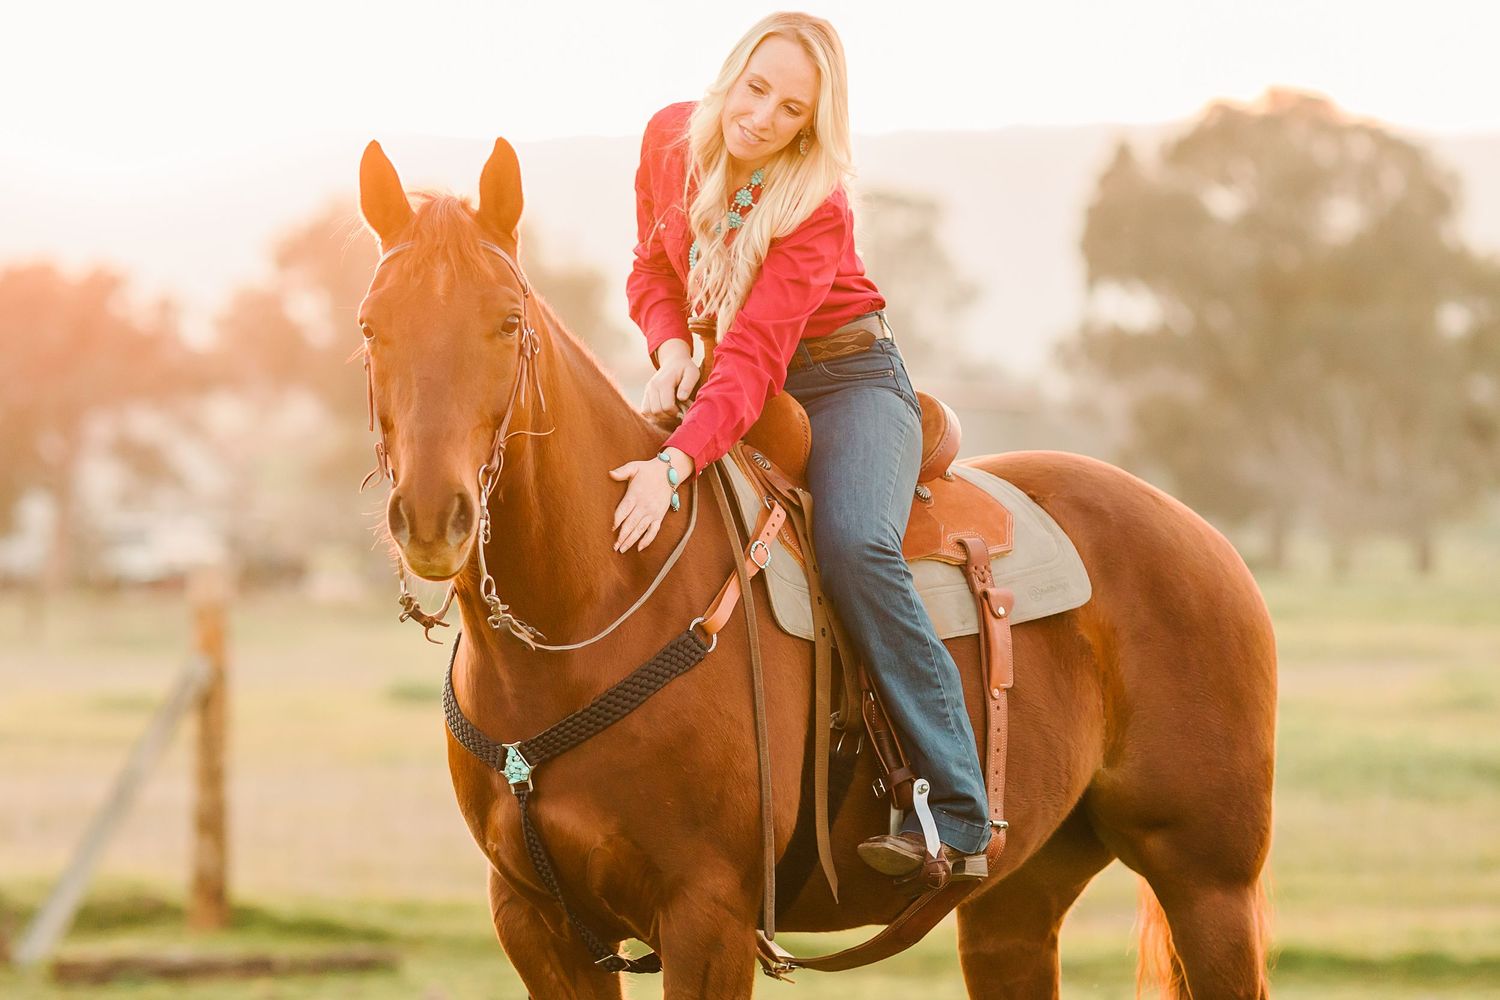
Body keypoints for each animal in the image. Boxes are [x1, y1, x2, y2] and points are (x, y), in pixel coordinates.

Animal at [354, 136, 1277, 999]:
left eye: (508, 322)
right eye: (370, 327)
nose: (433, 517)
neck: (582, 623)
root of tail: (1204, 539)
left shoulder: (708, 919)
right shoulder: (537, 924)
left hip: (1209, 886)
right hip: (1018, 899)